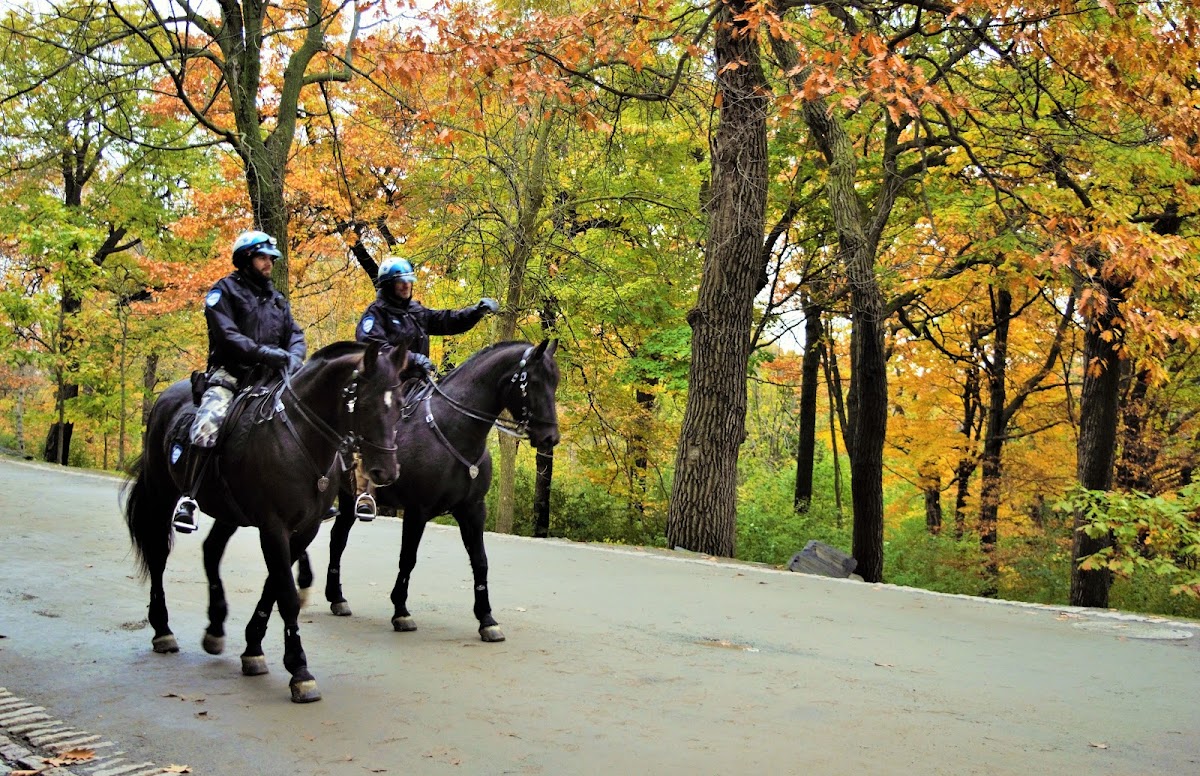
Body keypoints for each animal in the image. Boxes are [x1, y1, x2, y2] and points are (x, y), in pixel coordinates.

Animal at [124, 340, 408, 705]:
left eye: (399, 404)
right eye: (369, 402)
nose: (386, 471)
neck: (300, 439)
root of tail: (166, 396)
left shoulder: (303, 530)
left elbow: (273, 587)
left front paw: (253, 649)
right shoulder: (273, 528)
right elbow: (285, 593)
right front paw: (299, 670)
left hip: (229, 512)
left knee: (211, 551)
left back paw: (215, 628)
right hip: (162, 495)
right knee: (158, 555)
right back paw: (163, 630)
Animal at [304, 340, 556, 642]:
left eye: (556, 382)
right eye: (535, 382)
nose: (551, 437)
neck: (453, 430)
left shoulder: (473, 510)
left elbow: (480, 561)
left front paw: (487, 619)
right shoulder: (417, 511)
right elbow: (407, 559)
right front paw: (401, 612)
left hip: (347, 498)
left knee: (337, 539)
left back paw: (337, 597)